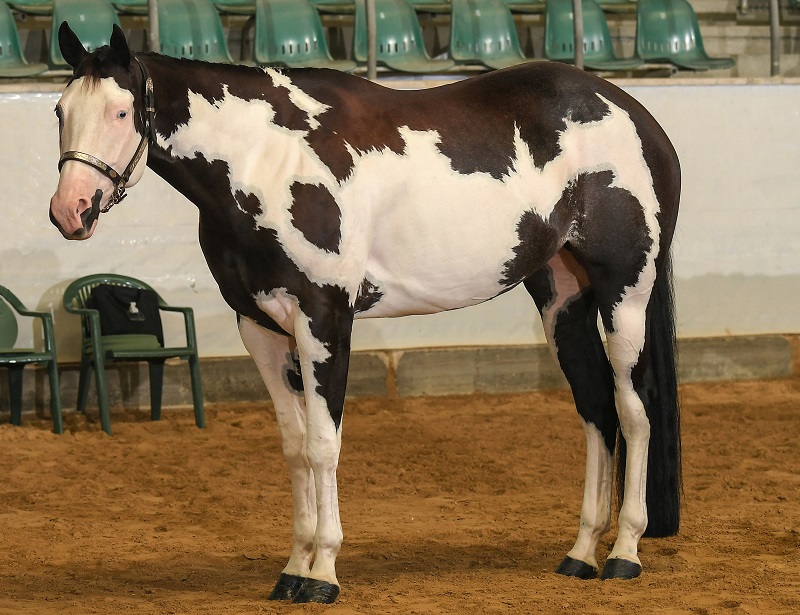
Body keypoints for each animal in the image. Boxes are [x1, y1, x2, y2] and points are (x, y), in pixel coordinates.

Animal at [49, 23, 682, 604]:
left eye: (121, 111)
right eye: (60, 110)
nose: (69, 210)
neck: (265, 157)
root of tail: (638, 117)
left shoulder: (325, 320)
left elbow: (323, 445)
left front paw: (323, 573)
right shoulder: (261, 329)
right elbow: (295, 447)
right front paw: (293, 569)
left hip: (625, 294)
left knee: (634, 411)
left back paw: (625, 552)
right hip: (563, 302)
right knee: (597, 409)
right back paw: (581, 553)